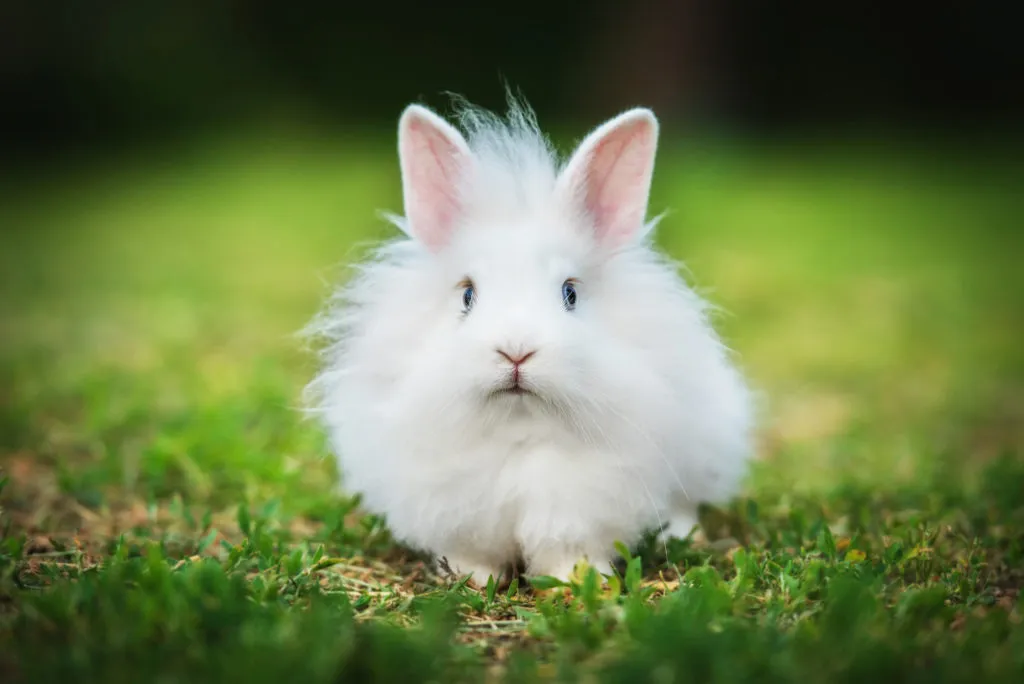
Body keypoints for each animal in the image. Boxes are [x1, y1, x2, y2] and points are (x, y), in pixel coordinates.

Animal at [303, 93, 756, 587]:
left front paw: (579, 580)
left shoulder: (581, 507)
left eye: (570, 293)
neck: (518, 430)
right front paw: (471, 579)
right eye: (467, 294)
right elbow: (469, 552)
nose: (516, 351)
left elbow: (569, 550)